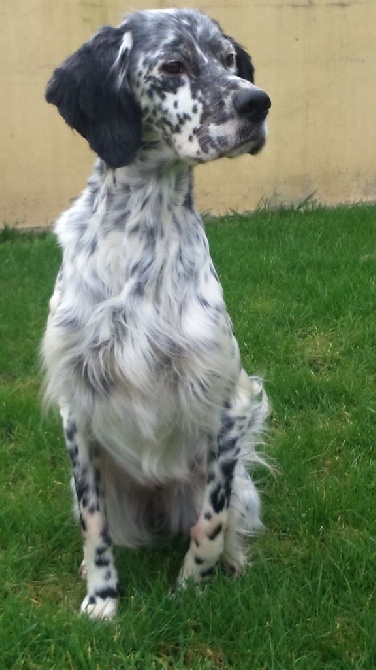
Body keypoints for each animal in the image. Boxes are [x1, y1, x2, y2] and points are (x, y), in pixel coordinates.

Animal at [42, 7, 272, 624]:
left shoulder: (230, 405)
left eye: (229, 59)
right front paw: (101, 599)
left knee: (230, 518)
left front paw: (191, 588)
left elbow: (210, 522)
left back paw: (235, 563)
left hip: (237, 483)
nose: (258, 102)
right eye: (173, 65)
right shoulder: (77, 409)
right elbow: (92, 525)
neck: (139, 233)